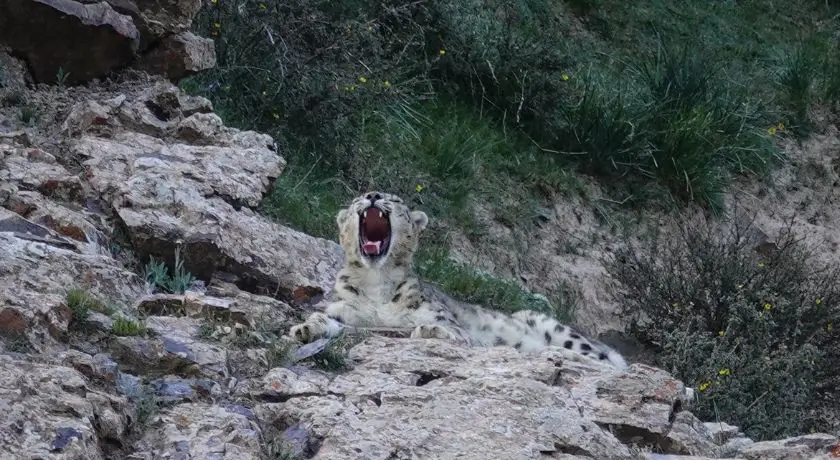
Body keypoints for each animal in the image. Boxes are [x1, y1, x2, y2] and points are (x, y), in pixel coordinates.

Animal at [288, 191, 628, 370]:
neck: (376, 282)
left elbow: (452, 330)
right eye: (358, 198)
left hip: (551, 324)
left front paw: (428, 330)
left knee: (602, 360)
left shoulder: (445, 320)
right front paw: (305, 328)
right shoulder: (345, 312)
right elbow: (329, 320)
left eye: (393, 199)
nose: (373, 196)